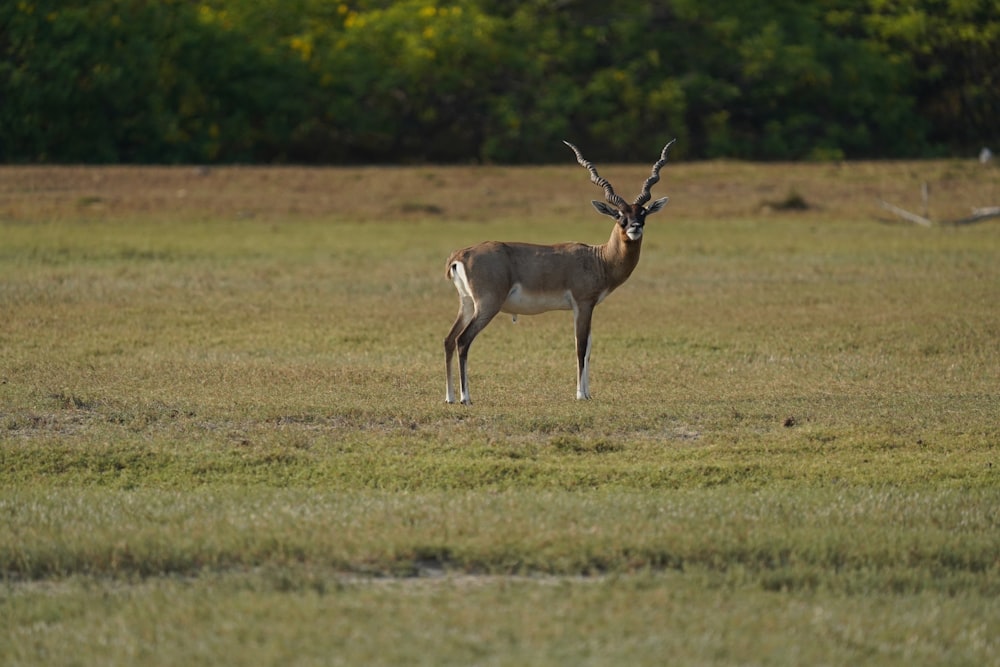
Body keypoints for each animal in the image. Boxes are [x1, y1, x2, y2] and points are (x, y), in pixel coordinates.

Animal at [444, 140, 672, 408]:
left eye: (642, 212)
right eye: (619, 216)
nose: (635, 227)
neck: (599, 258)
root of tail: (461, 254)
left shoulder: (586, 307)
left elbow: (589, 347)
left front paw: (589, 393)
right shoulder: (583, 304)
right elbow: (580, 346)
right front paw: (581, 395)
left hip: (467, 303)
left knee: (449, 339)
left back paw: (449, 397)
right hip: (487, 305)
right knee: (462, 340)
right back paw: (465, 398)